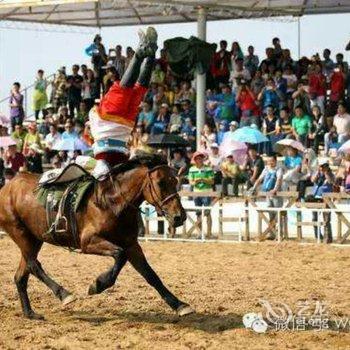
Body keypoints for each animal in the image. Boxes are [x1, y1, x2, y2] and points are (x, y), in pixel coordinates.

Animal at [0, 153, 194, 320]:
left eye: (175, 180)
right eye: (160, 182)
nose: (180, 217)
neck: (111, 203)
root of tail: (7, 187)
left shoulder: (132, 245)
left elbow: (150, 275)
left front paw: (180, 305)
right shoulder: (88, 242)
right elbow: (119, 255)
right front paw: (98, 284)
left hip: (34, 239)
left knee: (21, 275)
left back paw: (29, 313)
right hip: (21, 234)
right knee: (34, 265)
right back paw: (64, 294)